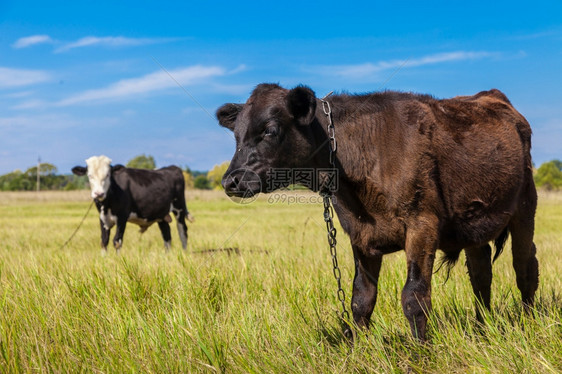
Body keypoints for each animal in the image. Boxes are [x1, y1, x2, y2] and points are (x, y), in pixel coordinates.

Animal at [215, 84, 540, 342]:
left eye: (270, 130)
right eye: (237, 136)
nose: (231, 180)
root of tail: (492, 96)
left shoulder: (422, 224)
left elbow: (414, 296)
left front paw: (421, 353)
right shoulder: (360, 235)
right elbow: (361, 298)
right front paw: (358, 349)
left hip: (525, 207)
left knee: (525, 267)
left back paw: (529, 324)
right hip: (473, 224)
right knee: (481, 273)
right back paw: (482, 329)